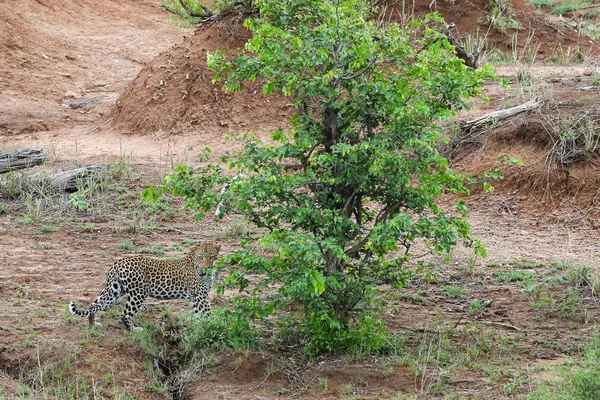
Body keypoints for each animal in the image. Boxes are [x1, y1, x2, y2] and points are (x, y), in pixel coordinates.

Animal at [70, 241, 220, 332]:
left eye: (212, 256)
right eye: (201, 257)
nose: (206, 268)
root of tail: (118, 263)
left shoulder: (196, 296)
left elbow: (198, 315)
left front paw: (199, 328)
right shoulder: (201, 295)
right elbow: (207, 313)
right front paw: (212, 327)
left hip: (114, 289)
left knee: (94, 305)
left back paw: (93, 325)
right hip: (138, 293)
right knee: (125, 314)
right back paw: (134, 330)